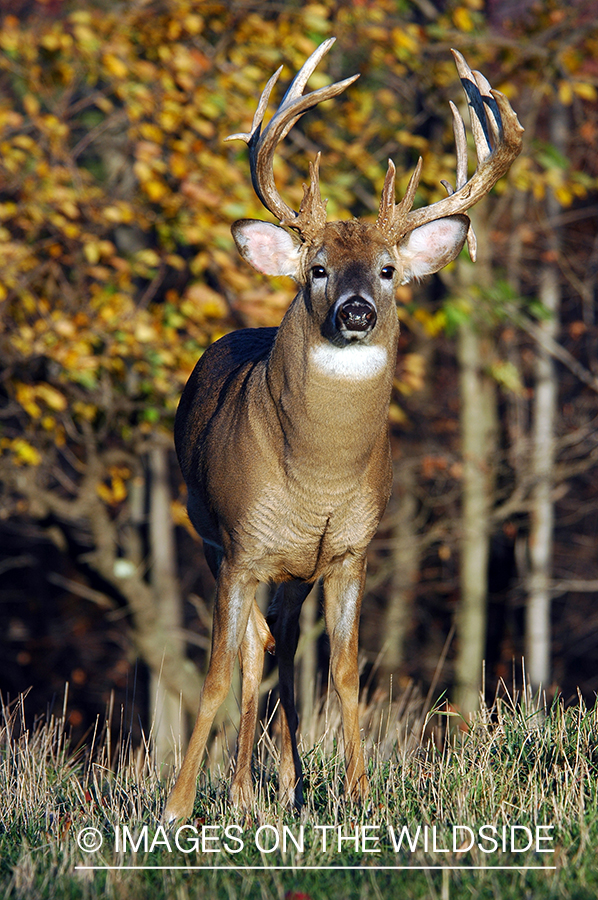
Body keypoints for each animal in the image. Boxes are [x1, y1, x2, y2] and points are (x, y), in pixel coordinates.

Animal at [165, 40, 524, 824]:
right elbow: (215, 673)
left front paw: (358, 794)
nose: (356, 311)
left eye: (389, 270)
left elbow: (348, 671)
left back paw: (284, 785)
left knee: (282, 647)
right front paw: (175, 807)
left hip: (296, 572)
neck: (317, 476)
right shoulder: (240, 545)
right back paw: (241, 791)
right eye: (319, 268)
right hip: (215, 540)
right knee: (253, 648)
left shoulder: (351, 551)